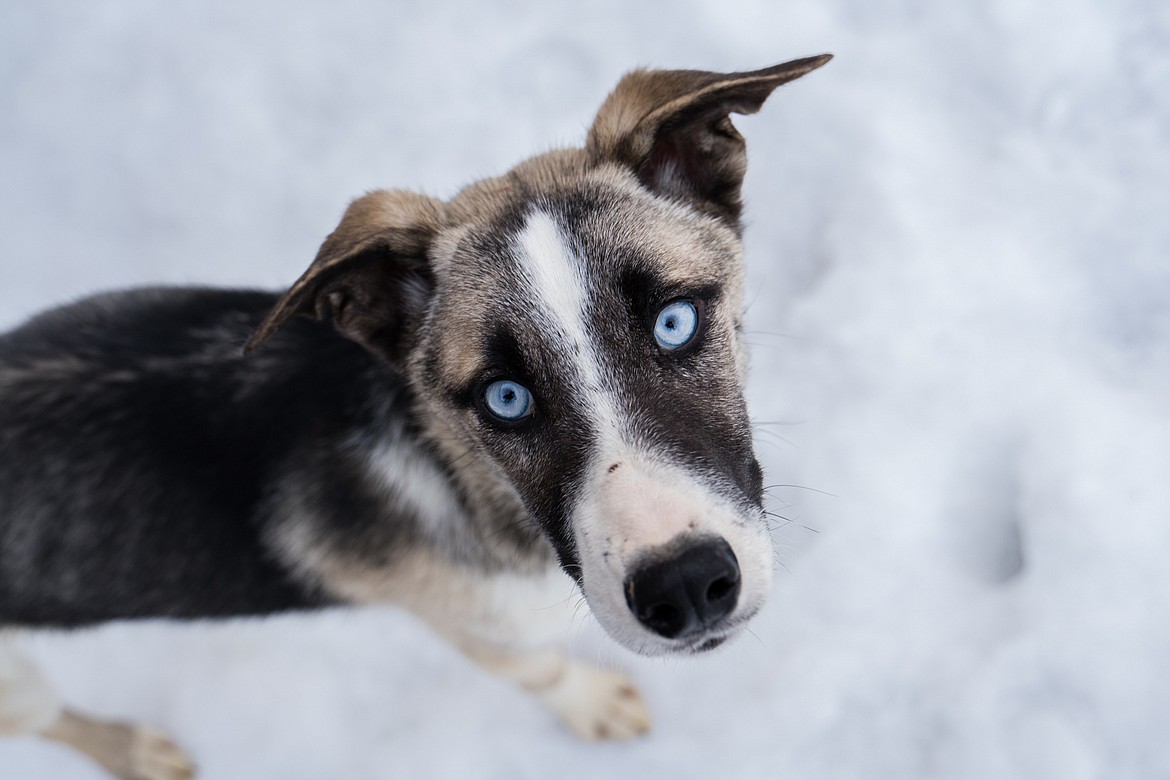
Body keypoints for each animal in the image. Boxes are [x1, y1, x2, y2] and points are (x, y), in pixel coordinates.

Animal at [4, 56, 837, 780]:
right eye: (505, 398)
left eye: (673, 321)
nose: (688, 588)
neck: (469, 485)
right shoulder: (475, 629)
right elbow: (539, 671)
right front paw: (591, 703)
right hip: (17, 683)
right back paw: (136, 751)